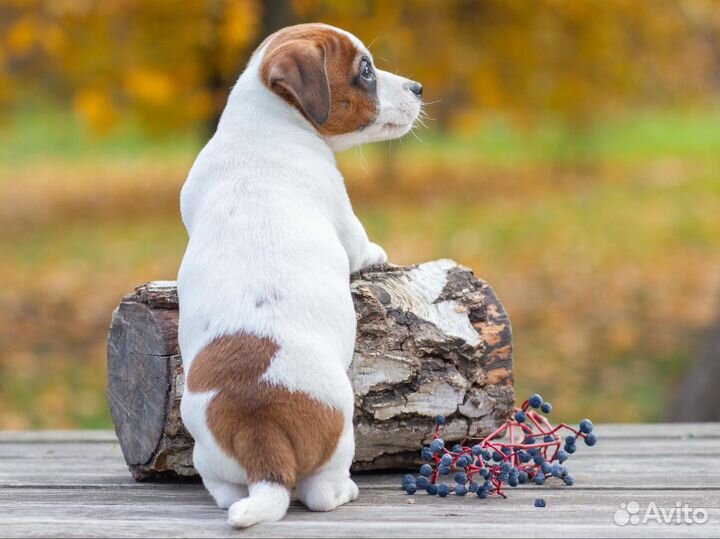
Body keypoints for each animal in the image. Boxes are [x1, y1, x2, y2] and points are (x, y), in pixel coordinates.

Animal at [176, 23, 422, 528]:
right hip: (341, 430)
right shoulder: (344, 216)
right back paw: (344, 491)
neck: (263, 127)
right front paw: (379, 253)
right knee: (320, 491)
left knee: (226, 492)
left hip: (208, 456)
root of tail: (263, 436)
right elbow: (361, 245)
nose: (419, 88)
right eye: (365, 70)